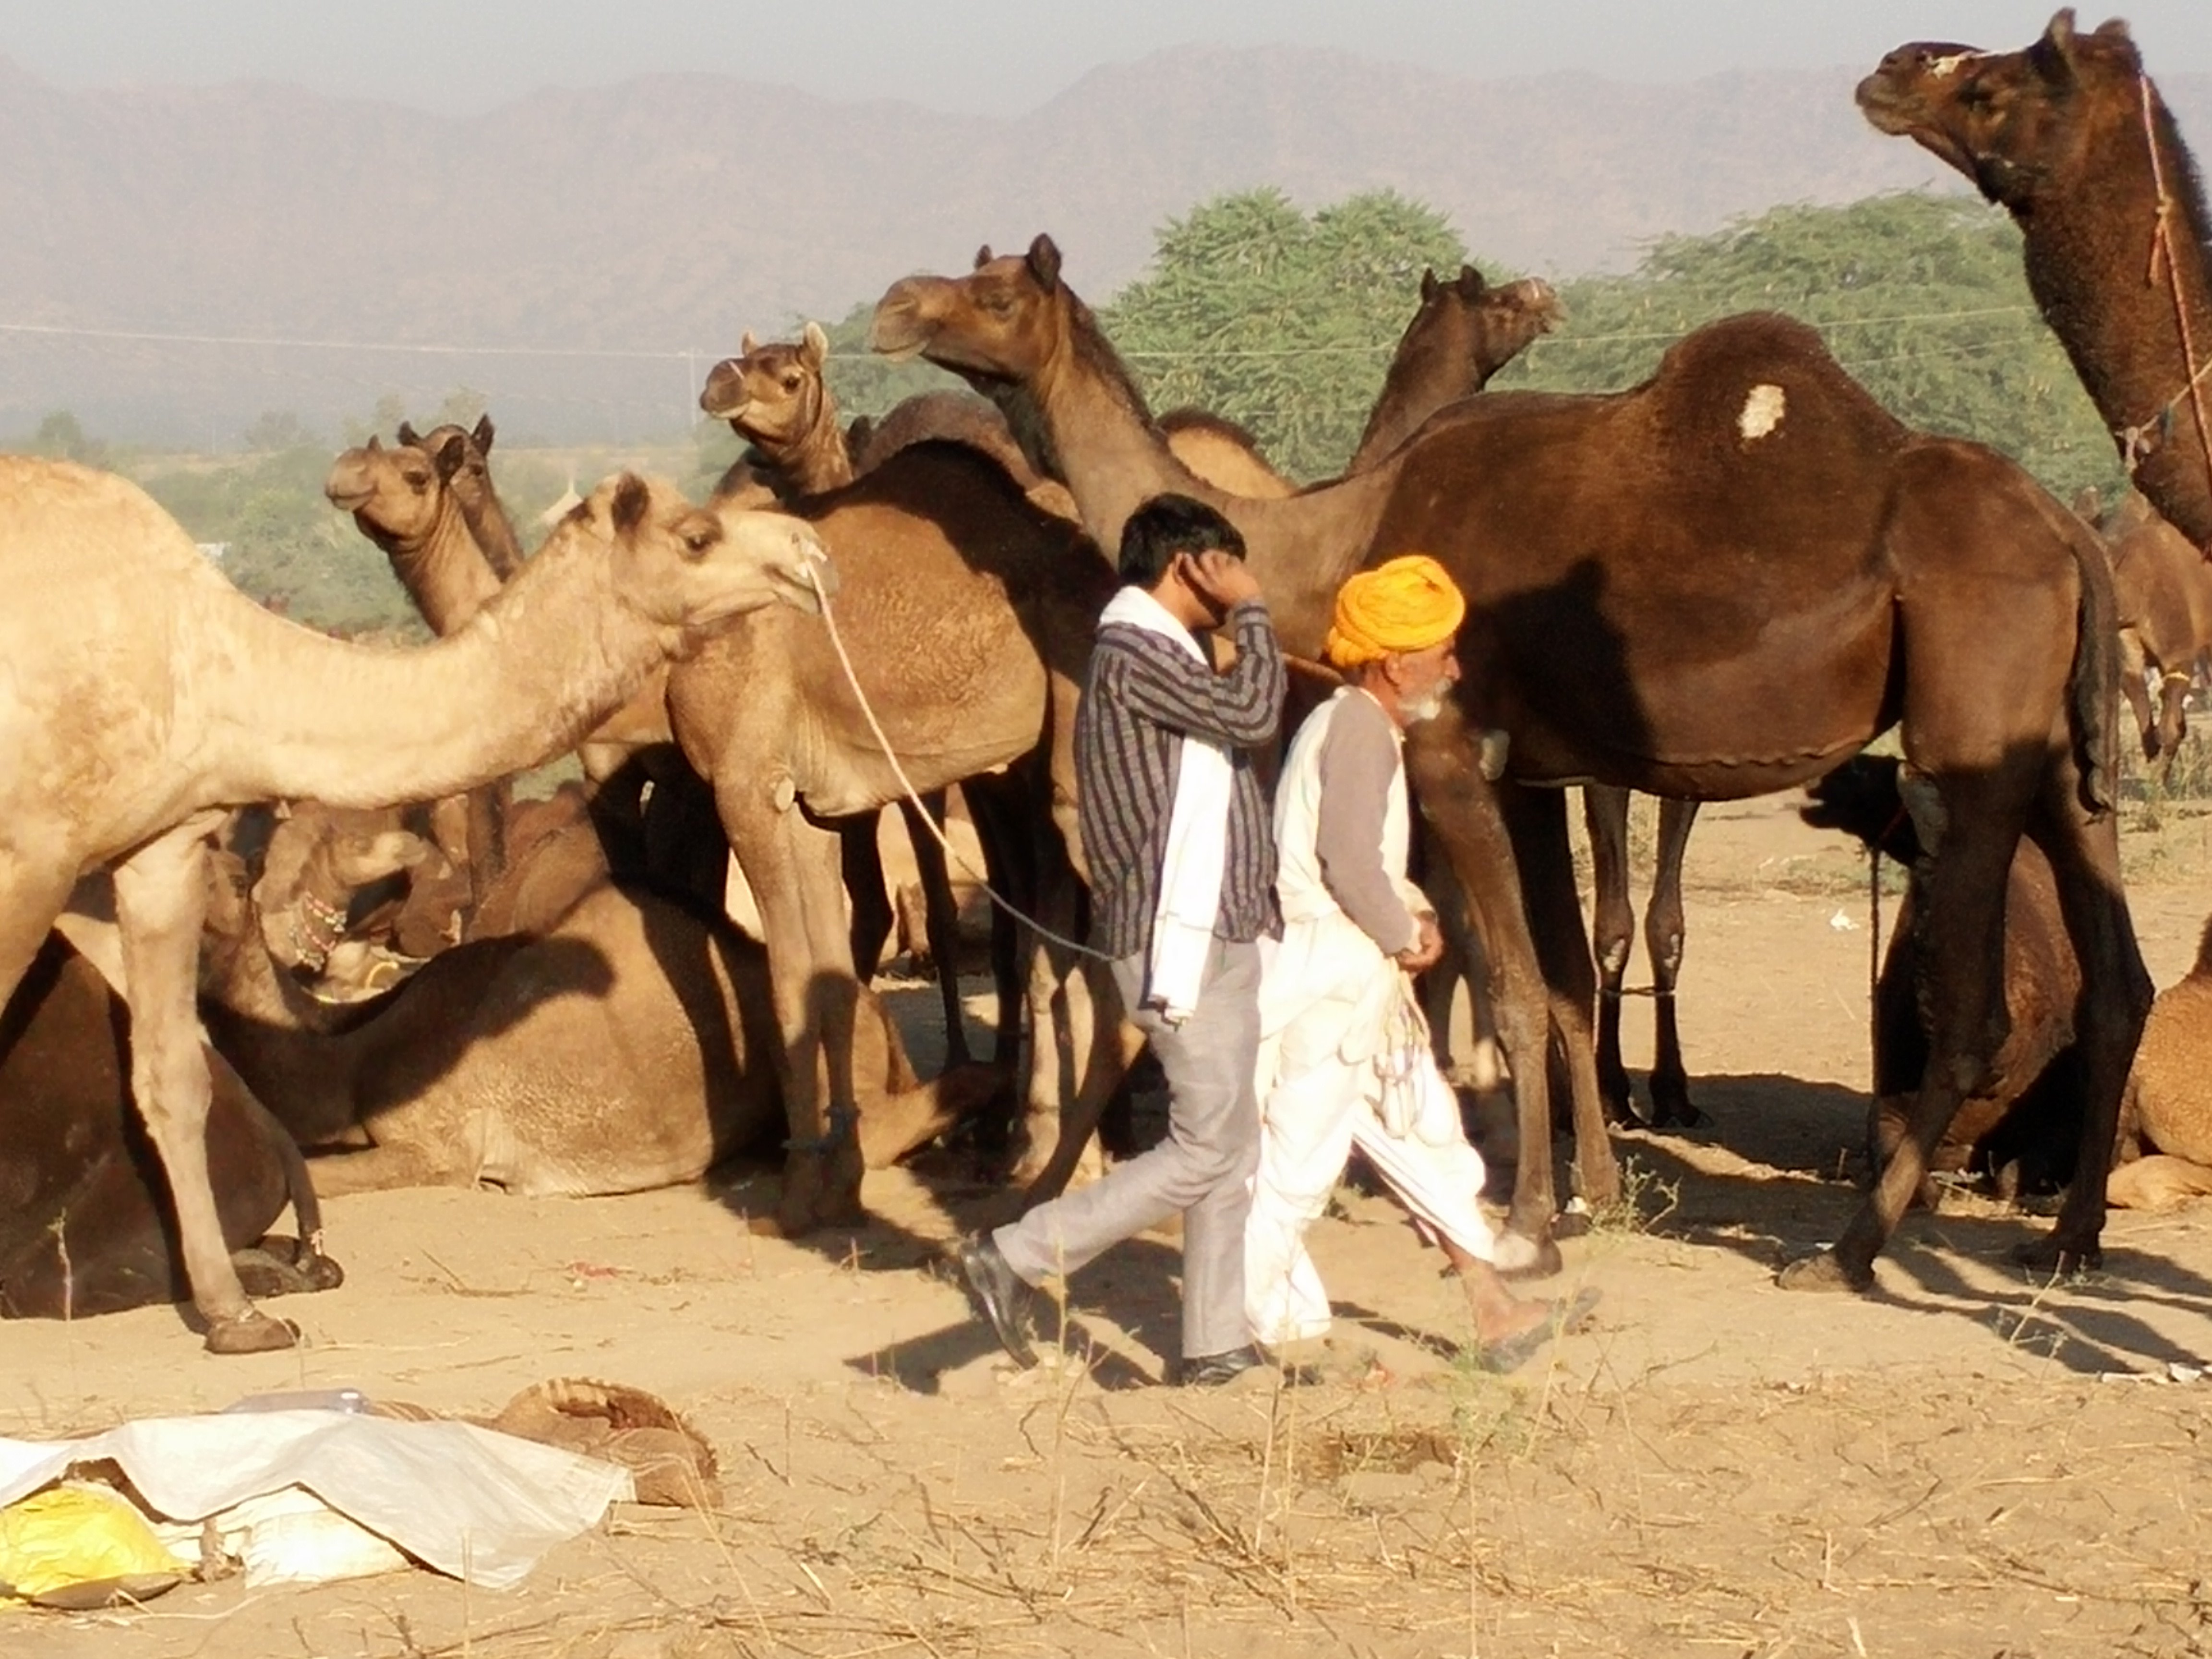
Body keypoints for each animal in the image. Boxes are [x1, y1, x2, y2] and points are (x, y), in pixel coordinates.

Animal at [0, 457, 831, 1354]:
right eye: (696, 536)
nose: (808, 549)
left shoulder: (153, 843)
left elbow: (175, 1074)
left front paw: (238, 1317)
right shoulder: (35, 854)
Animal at [876, 237, 2159, 1300]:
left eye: (995, 293)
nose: (893, 304)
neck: (1339, 540)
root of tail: (2073, 531)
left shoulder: (1450, 745)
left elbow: (1506, 986)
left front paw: (1529, 1218)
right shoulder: (1527, 771)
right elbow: (1561, 981)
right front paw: (1595, 1191)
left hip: (1970, 744)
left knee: (1976, 1005)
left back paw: (1848, 1250)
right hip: (2062, 762)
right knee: (2118, 973)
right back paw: (2070, 1240)